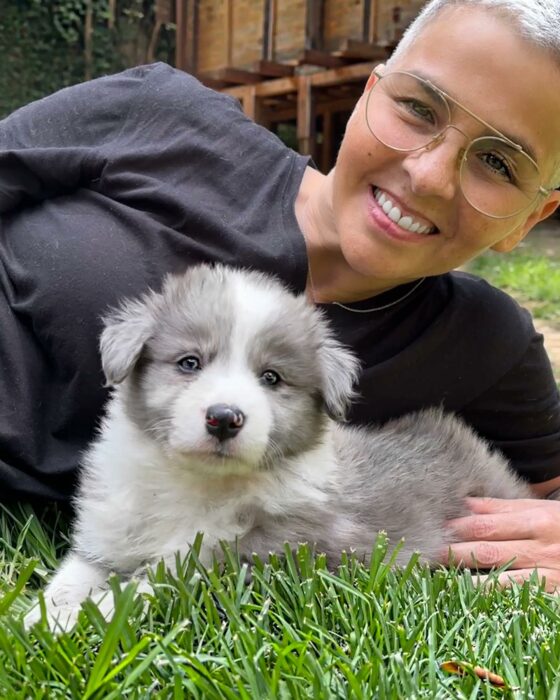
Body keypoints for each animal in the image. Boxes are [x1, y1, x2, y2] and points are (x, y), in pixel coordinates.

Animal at [26, 262, 532, 628]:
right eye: (189, 363)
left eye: (271, 377)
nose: (224, 417)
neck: (193, 484)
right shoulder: (108, 536)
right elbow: (74, 576)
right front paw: (39, 618)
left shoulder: (241, 559)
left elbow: (142, 589)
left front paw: (71, 621)